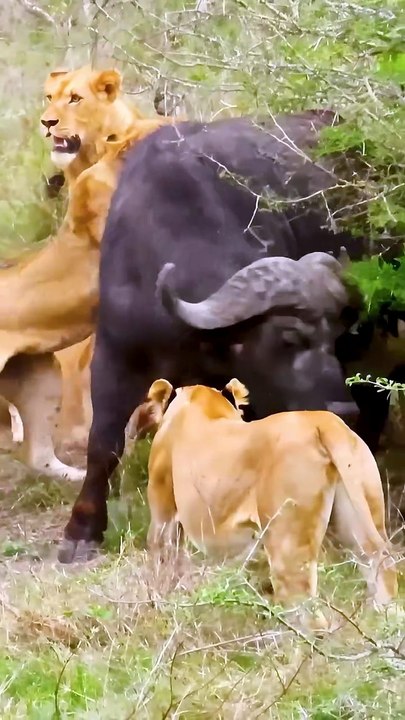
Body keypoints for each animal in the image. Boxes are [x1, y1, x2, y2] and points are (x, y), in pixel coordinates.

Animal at [142, 378, 398, 619]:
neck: (202, 403)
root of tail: (322, 421)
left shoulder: (163, 511)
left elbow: (160, 562)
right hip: (357, 526)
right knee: (383, 570)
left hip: (287, 545)